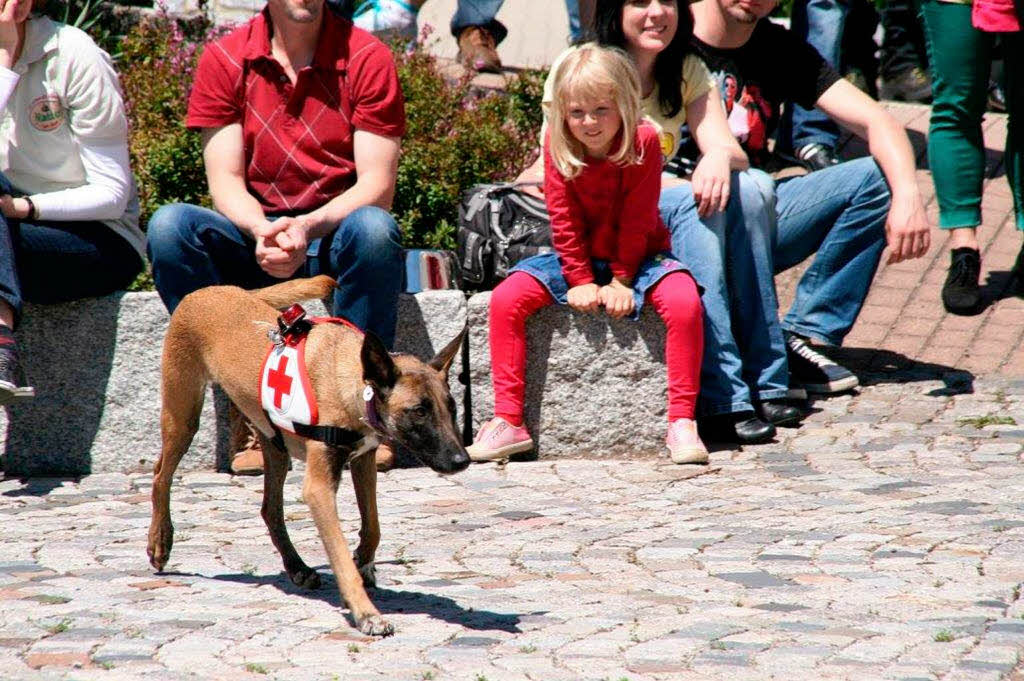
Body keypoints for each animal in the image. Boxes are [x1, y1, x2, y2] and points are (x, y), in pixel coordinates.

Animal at [146, 274, 468, 634]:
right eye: (419, 412)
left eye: (452, 408)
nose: (462, 461)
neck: (355, 382)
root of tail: (206, 290)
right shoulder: (319, 488)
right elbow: (338, 551)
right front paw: (365, 611)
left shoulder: (363, 462)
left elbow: (373, 524)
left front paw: (364, 562)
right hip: (183, 417)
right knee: (160, 475)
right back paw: (160, 541)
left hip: (273, 445)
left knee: (270, 509)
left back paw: (297, 566)